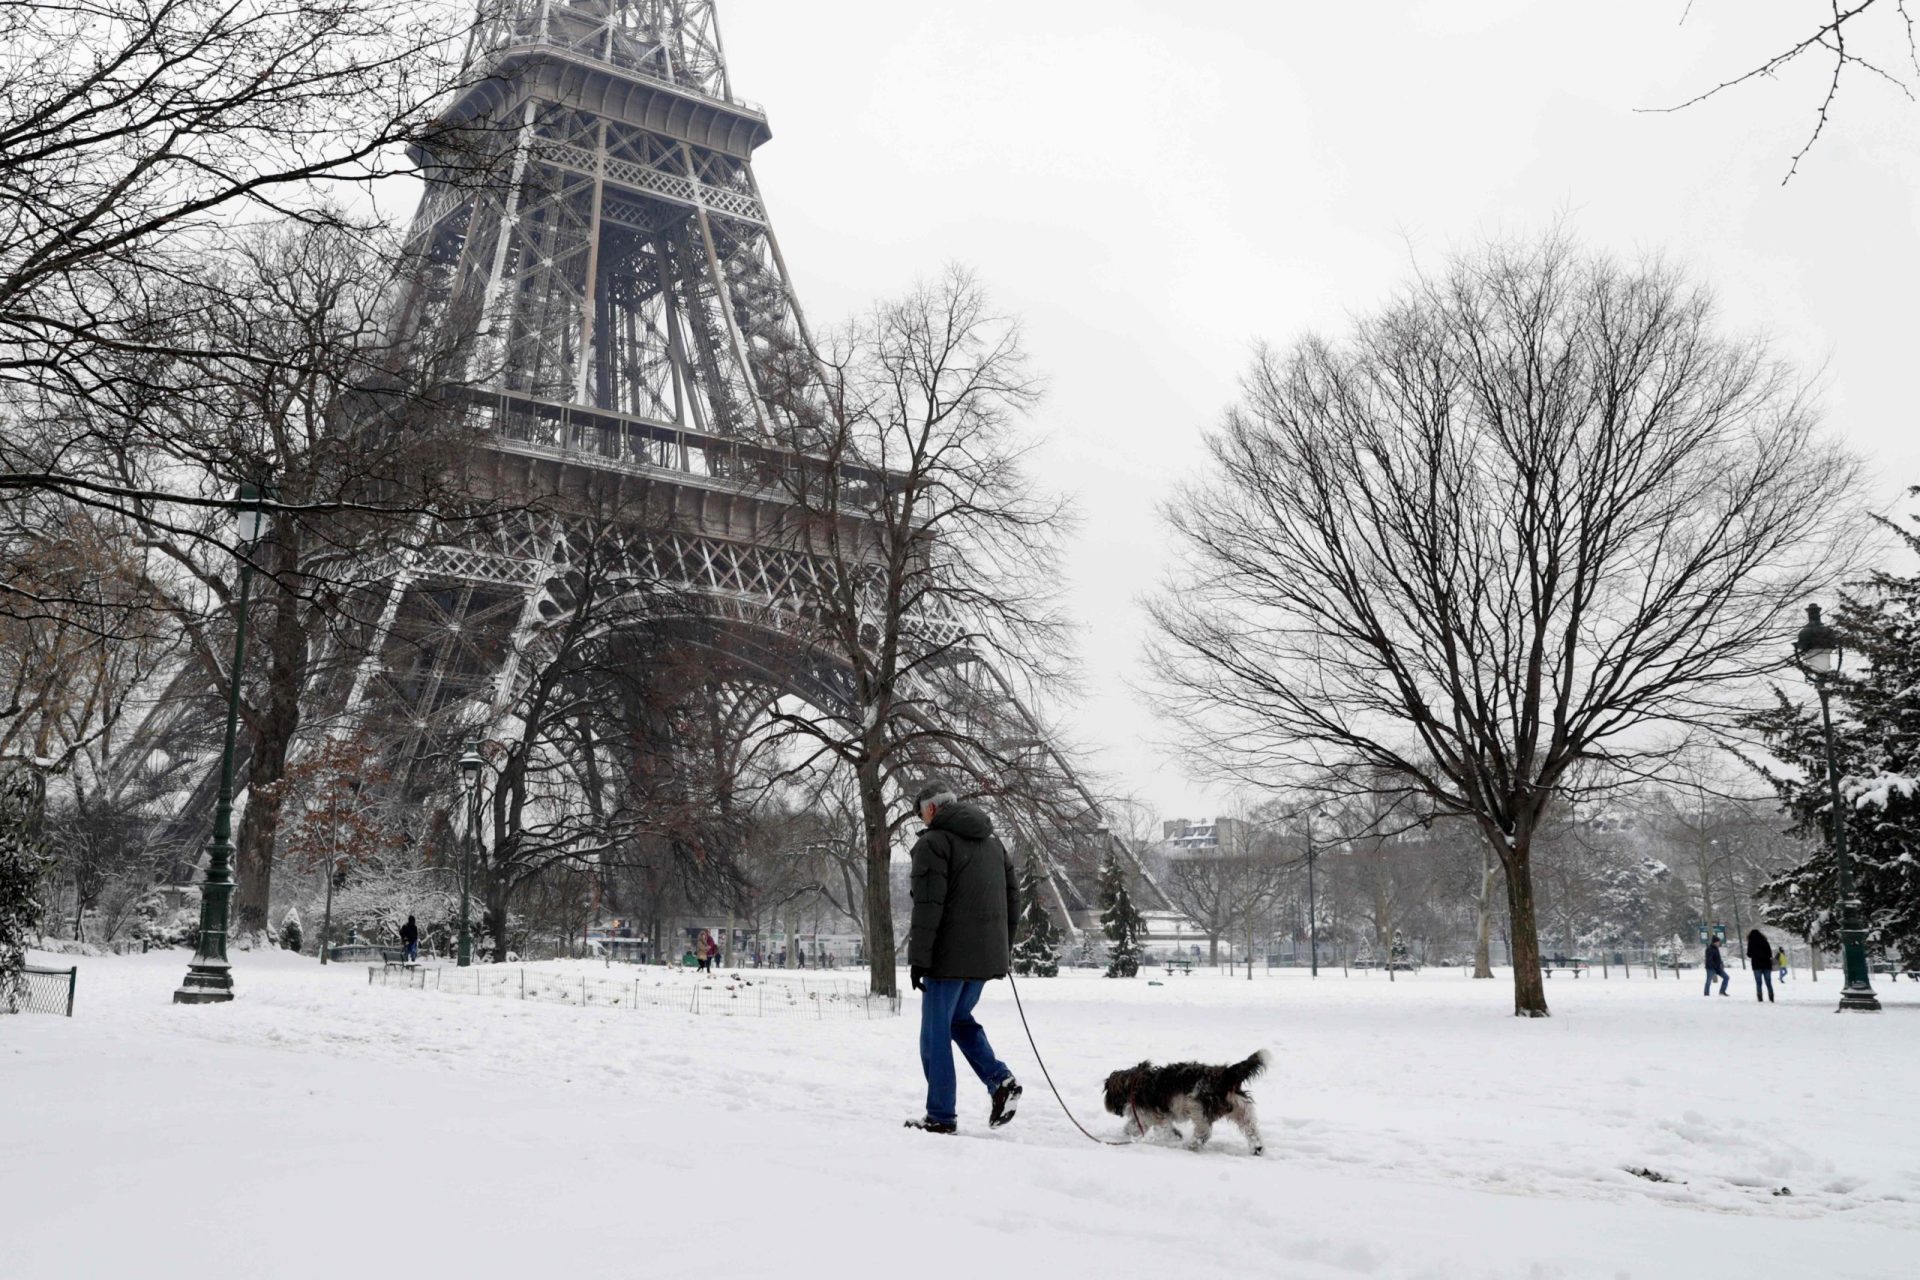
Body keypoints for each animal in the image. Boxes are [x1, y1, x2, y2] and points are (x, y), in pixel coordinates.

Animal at [1105, 1059, 1267, 1159]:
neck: (1133, 1082)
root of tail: (1225, 1075)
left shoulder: (1152, 1116)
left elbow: (1162, 1129)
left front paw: (1176, 1137)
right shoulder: (1147, 1116)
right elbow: (1134, 1125)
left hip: (1197, 1107)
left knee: (1204, 1132)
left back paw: (1191, 1145)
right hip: (1240, 1108)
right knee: (1251, 1128)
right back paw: (1257, 1148)